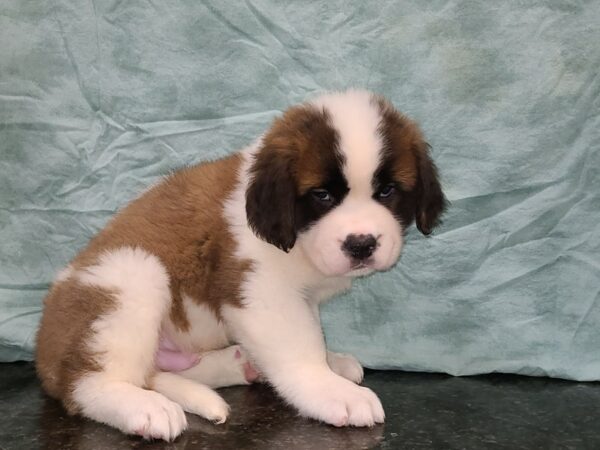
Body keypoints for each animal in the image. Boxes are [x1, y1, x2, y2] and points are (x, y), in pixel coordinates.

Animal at [34, 89, 446, 442]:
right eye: (322, 196)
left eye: (387, 191)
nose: (361, 244)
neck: (297, 242)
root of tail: (43, 357)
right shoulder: (262, 294)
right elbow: (299, 346)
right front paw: (330, 389)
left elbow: (311, 329)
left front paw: (332, 362)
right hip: (133, 275)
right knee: (88, 385)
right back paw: (142, 405)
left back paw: (239, 364)